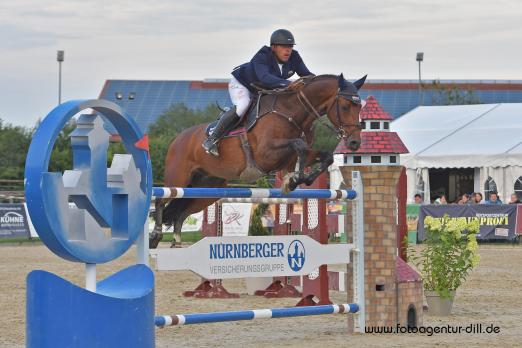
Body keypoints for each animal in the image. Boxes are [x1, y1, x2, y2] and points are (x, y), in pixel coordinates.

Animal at [148, 73, 364, 247]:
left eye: (360, 106)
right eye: (345, 106)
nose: (354, 142)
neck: (292, 112)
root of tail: (177, 139)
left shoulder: (291, 156)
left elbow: (324, 156)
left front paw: (301, 179)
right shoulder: (265, 154)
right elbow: (299, 145)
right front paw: (294, 179)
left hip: (207, 189)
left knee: (182, 211)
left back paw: (176, 240)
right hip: (178, 178)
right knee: (161, 199)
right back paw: (155, 236)